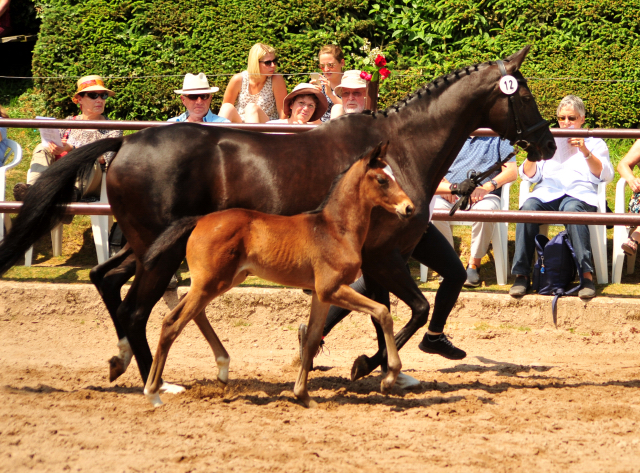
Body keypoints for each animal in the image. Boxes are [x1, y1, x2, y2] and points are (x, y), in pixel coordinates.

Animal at [142, 144, 412, 406]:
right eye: (382, 179)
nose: (408, 207)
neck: (335, 230)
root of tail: (199, 220)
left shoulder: (321, 295)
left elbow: (312, 339)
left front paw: (303, 396)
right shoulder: (332, 288)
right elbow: (383, 312)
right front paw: (389, 378)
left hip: (221, 282)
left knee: (183, 315)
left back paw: (220, 369)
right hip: (210, 283)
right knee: (173, 324)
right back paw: (153, 392)